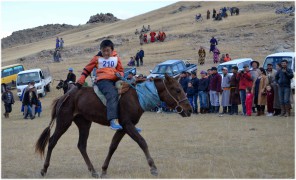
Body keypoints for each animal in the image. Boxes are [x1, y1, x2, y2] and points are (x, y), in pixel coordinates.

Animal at [35, 74, 192, 177]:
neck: (136, 96)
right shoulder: (128, 125)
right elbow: (142, 142)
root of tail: (64, 96)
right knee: (52, 141)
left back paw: (93, 171)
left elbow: (113, 146)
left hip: (84, 124)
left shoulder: (123, 127)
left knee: (81, 145)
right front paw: (153, 167)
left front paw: (104, 169)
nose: (189, 109)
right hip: (64, 122)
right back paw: (43, 169)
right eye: (177, 90)